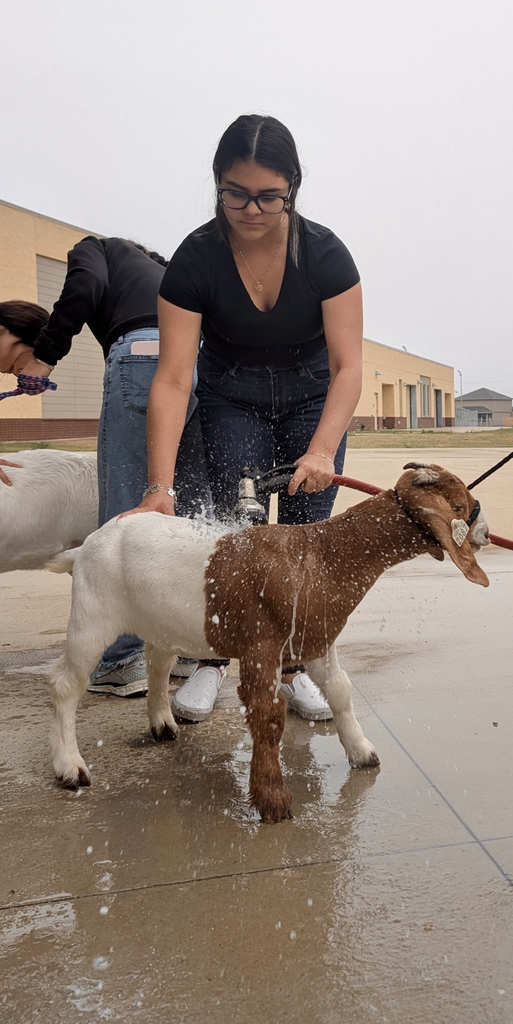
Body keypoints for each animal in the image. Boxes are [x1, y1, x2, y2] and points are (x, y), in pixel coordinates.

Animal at [48, 463, 489, 823]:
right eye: (461, 504)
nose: (485, 531)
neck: (322, 554)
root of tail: (84, 547)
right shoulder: (260, 647)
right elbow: (268, 714)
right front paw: (273, 802)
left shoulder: (315, 640)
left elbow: (341, 690)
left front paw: (362, 752)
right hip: (93, 614)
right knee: (66, 684)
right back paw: (70, 767)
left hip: (159, 621)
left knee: (158, 662)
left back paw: (162, 724)